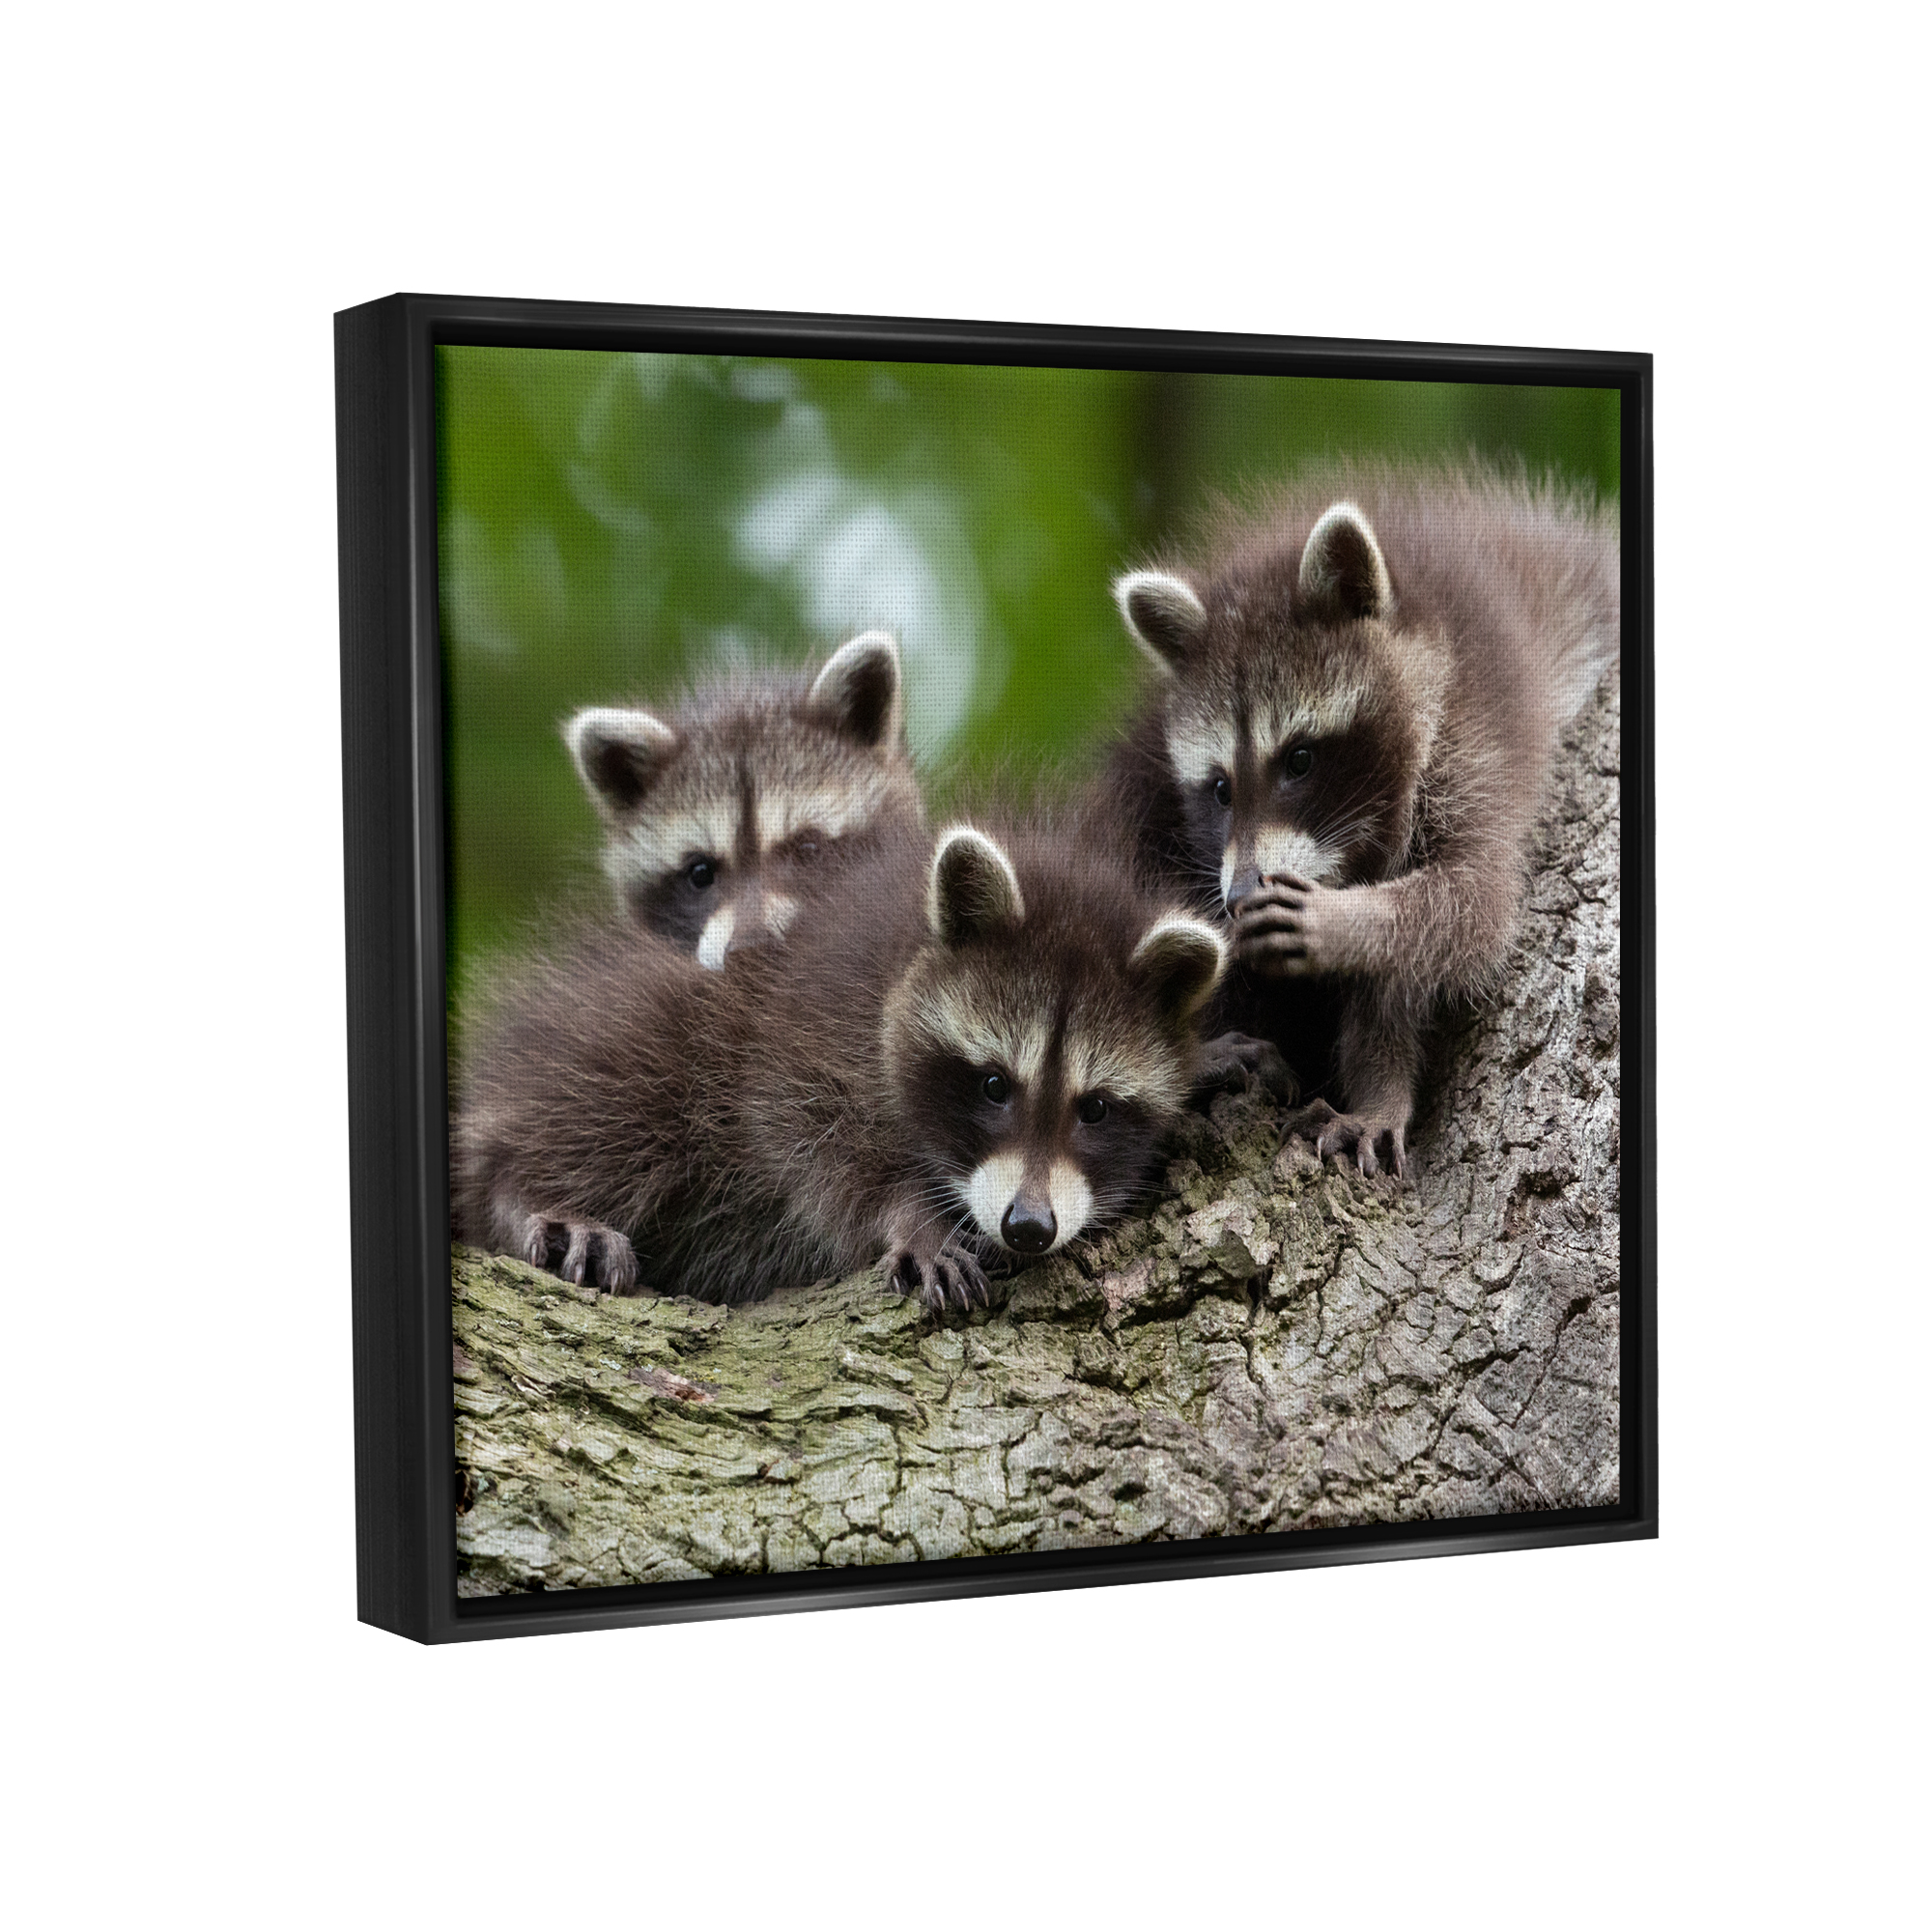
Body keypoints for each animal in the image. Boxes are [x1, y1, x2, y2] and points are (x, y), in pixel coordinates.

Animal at [452, 817, 1226, 1311]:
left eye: (1094, 1108)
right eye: (993, 1085)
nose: (1028, 1227)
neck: (905, 954)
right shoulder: (809, 1023)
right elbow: (813, 1142)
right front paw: (912, 1216)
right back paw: (522, 1190)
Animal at [1106, 464, 1618, 1177]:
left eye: (1299, 759)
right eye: (1220, 789)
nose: (1237, 896)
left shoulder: (1477, 736)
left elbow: (1470, 906)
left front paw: (1347, 922)